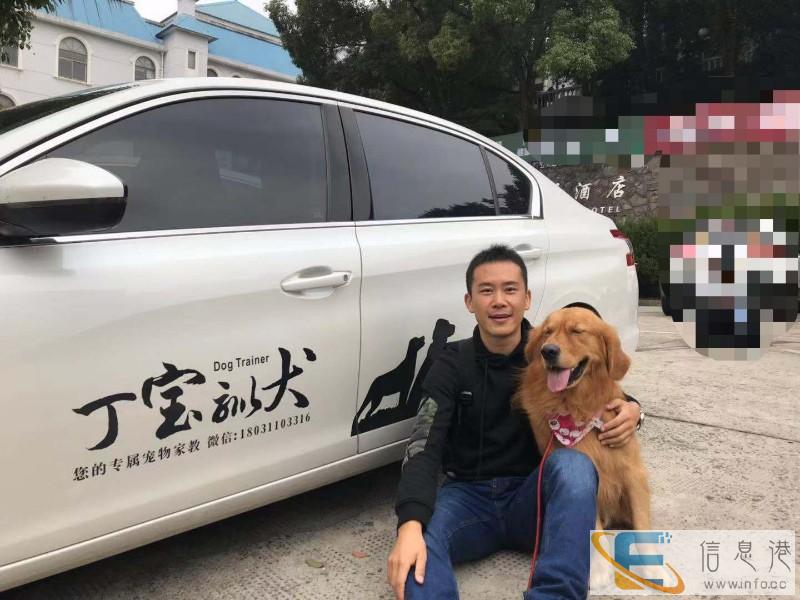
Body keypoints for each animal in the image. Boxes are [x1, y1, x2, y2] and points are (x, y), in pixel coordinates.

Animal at [515, 307, 651, 531]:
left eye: (577, 331)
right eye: (547, 332)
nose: (547, 351)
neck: (578, 409)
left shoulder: (633, 474)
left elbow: (643, 526)